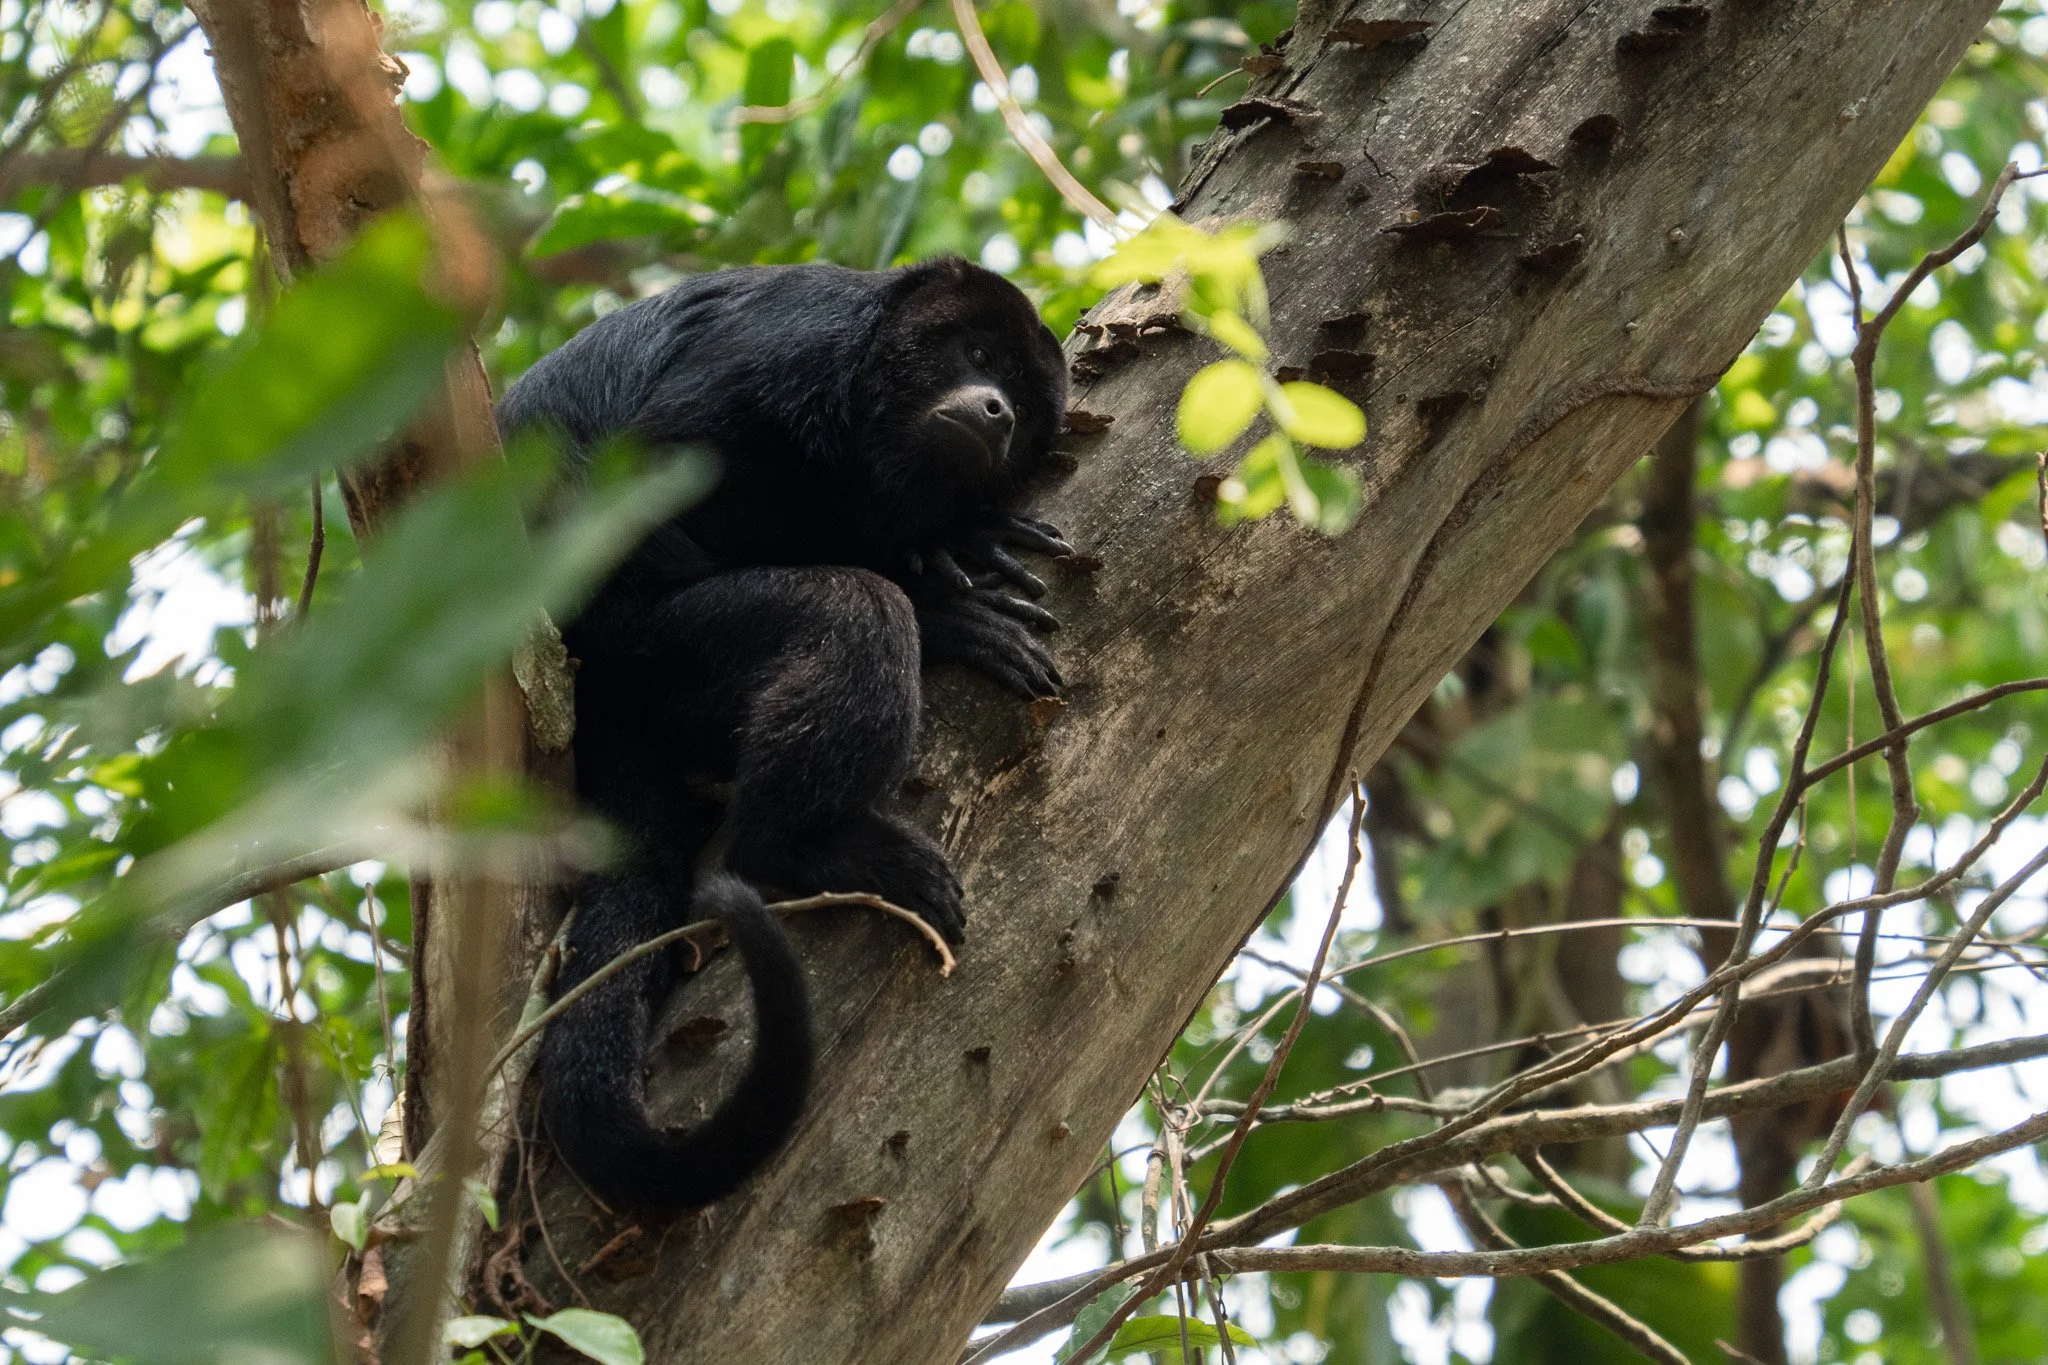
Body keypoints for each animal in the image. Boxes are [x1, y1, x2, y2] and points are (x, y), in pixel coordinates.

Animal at [495, 258, 1072, 1210]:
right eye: (978, 354)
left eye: (1025, 398)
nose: (997, 409)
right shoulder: (783, 353)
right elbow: (647, 483)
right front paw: (946, 568)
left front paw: (950, 540)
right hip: (643, 648)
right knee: (849, 614)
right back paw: (808, 841)